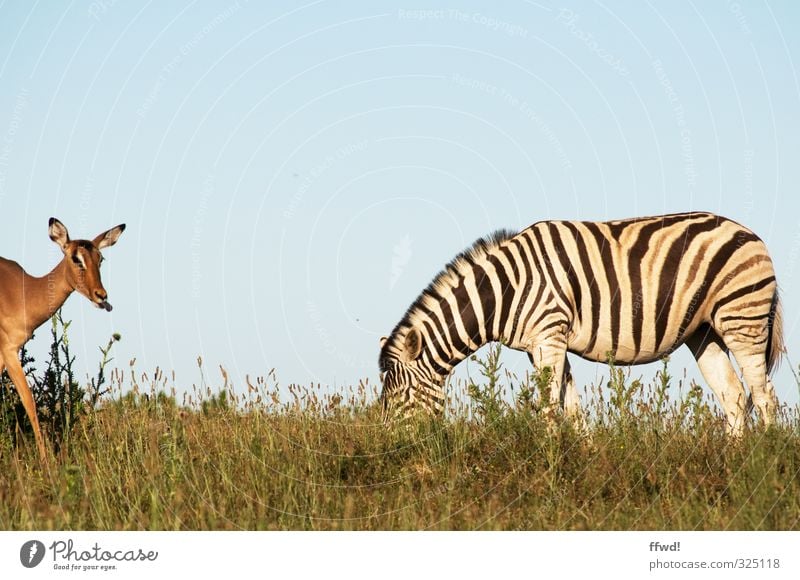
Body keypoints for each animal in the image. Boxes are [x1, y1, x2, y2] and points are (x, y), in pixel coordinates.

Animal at [0, 215, 125, 460]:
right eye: (76, 258)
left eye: (101, 258)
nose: (101, 296)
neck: (23, 293)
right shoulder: (9, 350)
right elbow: (29, 401)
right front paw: (45, 461)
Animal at [378, 211, 784, 432]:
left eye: (400, 397)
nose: (390, 447)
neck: (506, 289)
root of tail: (749, 233)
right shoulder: (544, 344)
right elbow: (570, 408)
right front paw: (577, 463)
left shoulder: (549, 336)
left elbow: (548, 407)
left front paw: (547, 468)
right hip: (704, 331)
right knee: (734, 396)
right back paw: (730, 462)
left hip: (742, 316)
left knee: (764, 395)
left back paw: (760, 463)